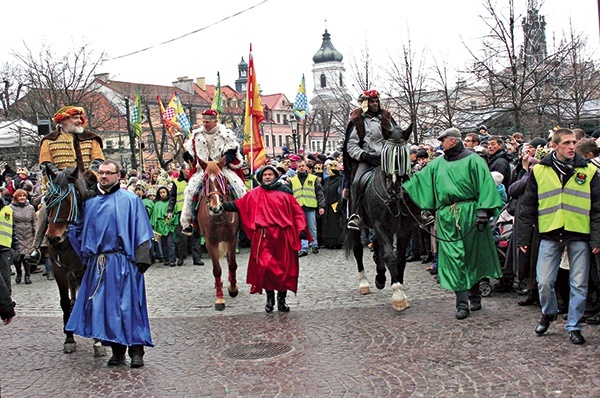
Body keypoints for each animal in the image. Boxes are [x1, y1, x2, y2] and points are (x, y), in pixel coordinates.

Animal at [44, 165, 105, 354]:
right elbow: (64, 302)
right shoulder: (60, 270)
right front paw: (69, 338)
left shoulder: (89, 268)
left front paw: (98, 342)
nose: (53, 238)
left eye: (67, 201)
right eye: (48, 200)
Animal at [197, 156, 239, 310]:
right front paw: (219, 299)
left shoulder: (232, 238)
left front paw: (233, 288)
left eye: (223, 179)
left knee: (229, 260)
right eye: (204, 182)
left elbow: (232, 264)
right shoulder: (210, 242)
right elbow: (217, 269)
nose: (216, 208)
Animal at [344, 124, 420, 310]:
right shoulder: (380, 225)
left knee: (377, 246)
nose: (396, 186)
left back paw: (380, 276)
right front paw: (398, 295)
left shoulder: (404, 229)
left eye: (405, 154)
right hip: (358, 226)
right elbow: (390, 256)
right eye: (388, 155)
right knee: (358, 250)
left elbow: (399, 258)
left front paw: (398, 287)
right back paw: (364, 283)